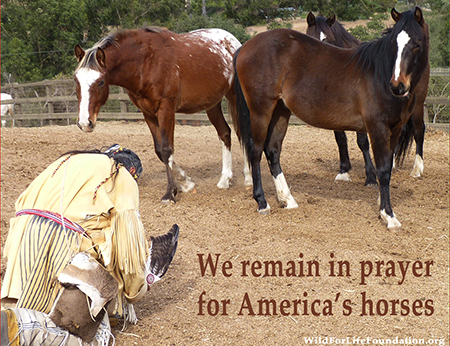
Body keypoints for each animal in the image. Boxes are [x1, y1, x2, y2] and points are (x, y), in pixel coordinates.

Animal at [74, 28, 243, 204]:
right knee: (225, 133)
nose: (85, 122)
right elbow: (159, 150)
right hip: (212, 104)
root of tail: (233, 41)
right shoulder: (148, 113)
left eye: (100, 82)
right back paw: (225, 180)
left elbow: (167, 149)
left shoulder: (166, 109)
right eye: (75, 80)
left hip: (235, 98)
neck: (145, 63)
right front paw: (186, 183)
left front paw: (170, 193)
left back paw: (248, 180)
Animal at [306, 10, 428, 184]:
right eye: (309, 38)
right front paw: (344, 171)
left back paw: (417, 170)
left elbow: (362, 142)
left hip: (417, 104)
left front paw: (370, 177)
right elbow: (340, 138)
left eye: (329, 40)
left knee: (419, 130)